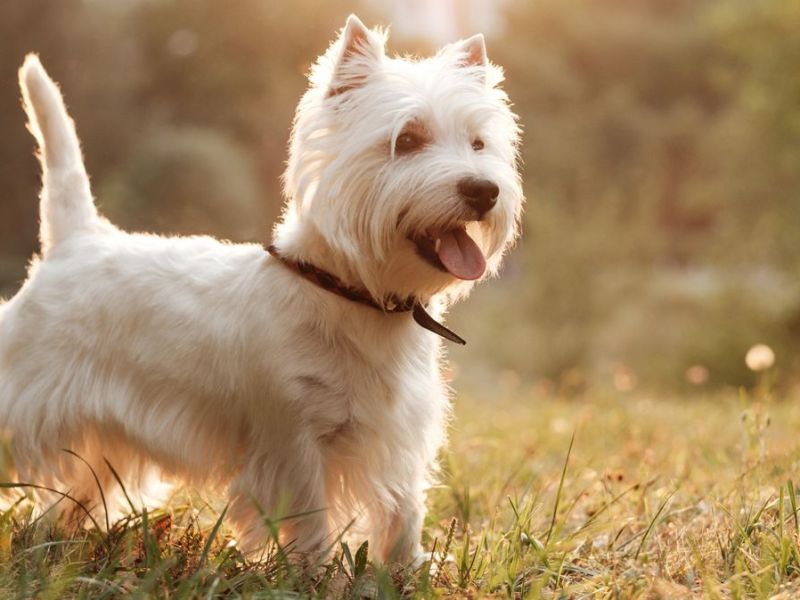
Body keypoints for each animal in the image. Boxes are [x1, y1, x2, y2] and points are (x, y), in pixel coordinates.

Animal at [0, 15, 520, 564]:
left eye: (478, 144)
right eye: (408, 140)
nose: (484, 191)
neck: (353, 294)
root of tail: (75, 238)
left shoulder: (398, 434)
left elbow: (403, 511)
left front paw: (408, 569)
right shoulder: (293, 437)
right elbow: (310, 516)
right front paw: (316, 572)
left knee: (75, 490)